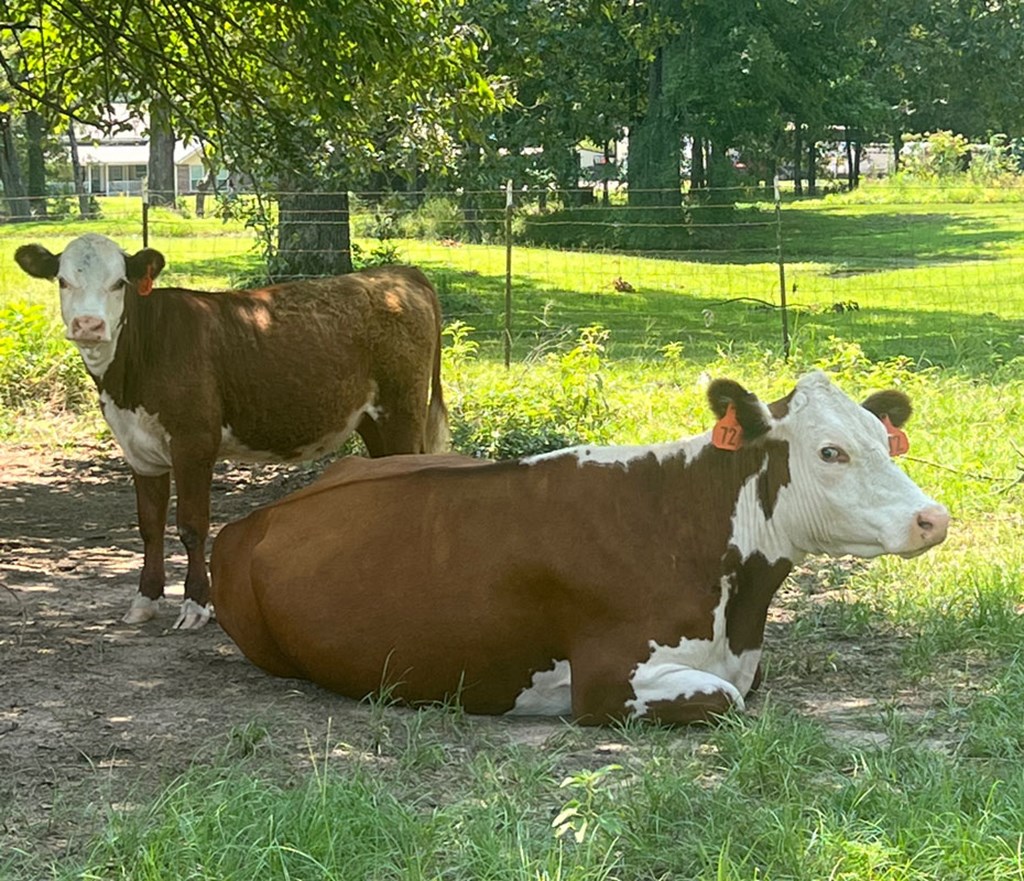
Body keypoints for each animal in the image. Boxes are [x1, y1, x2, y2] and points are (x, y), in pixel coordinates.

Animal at [14, 233, 448, 631]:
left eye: (119, 283)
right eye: (63, 280)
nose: (88, 325)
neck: (131, 374)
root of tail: (399, 274)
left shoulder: (194, 443)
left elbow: (191, 526)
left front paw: (196, 606)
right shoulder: (139, 450)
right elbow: (150, 526)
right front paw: (144, 601)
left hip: (401, 412)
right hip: (373, 421)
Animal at [209, 370, 950, 721]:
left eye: (885, 439)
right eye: (831, 451)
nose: (932, 517)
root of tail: (257, 515)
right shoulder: (609, 683)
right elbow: (728, 701)